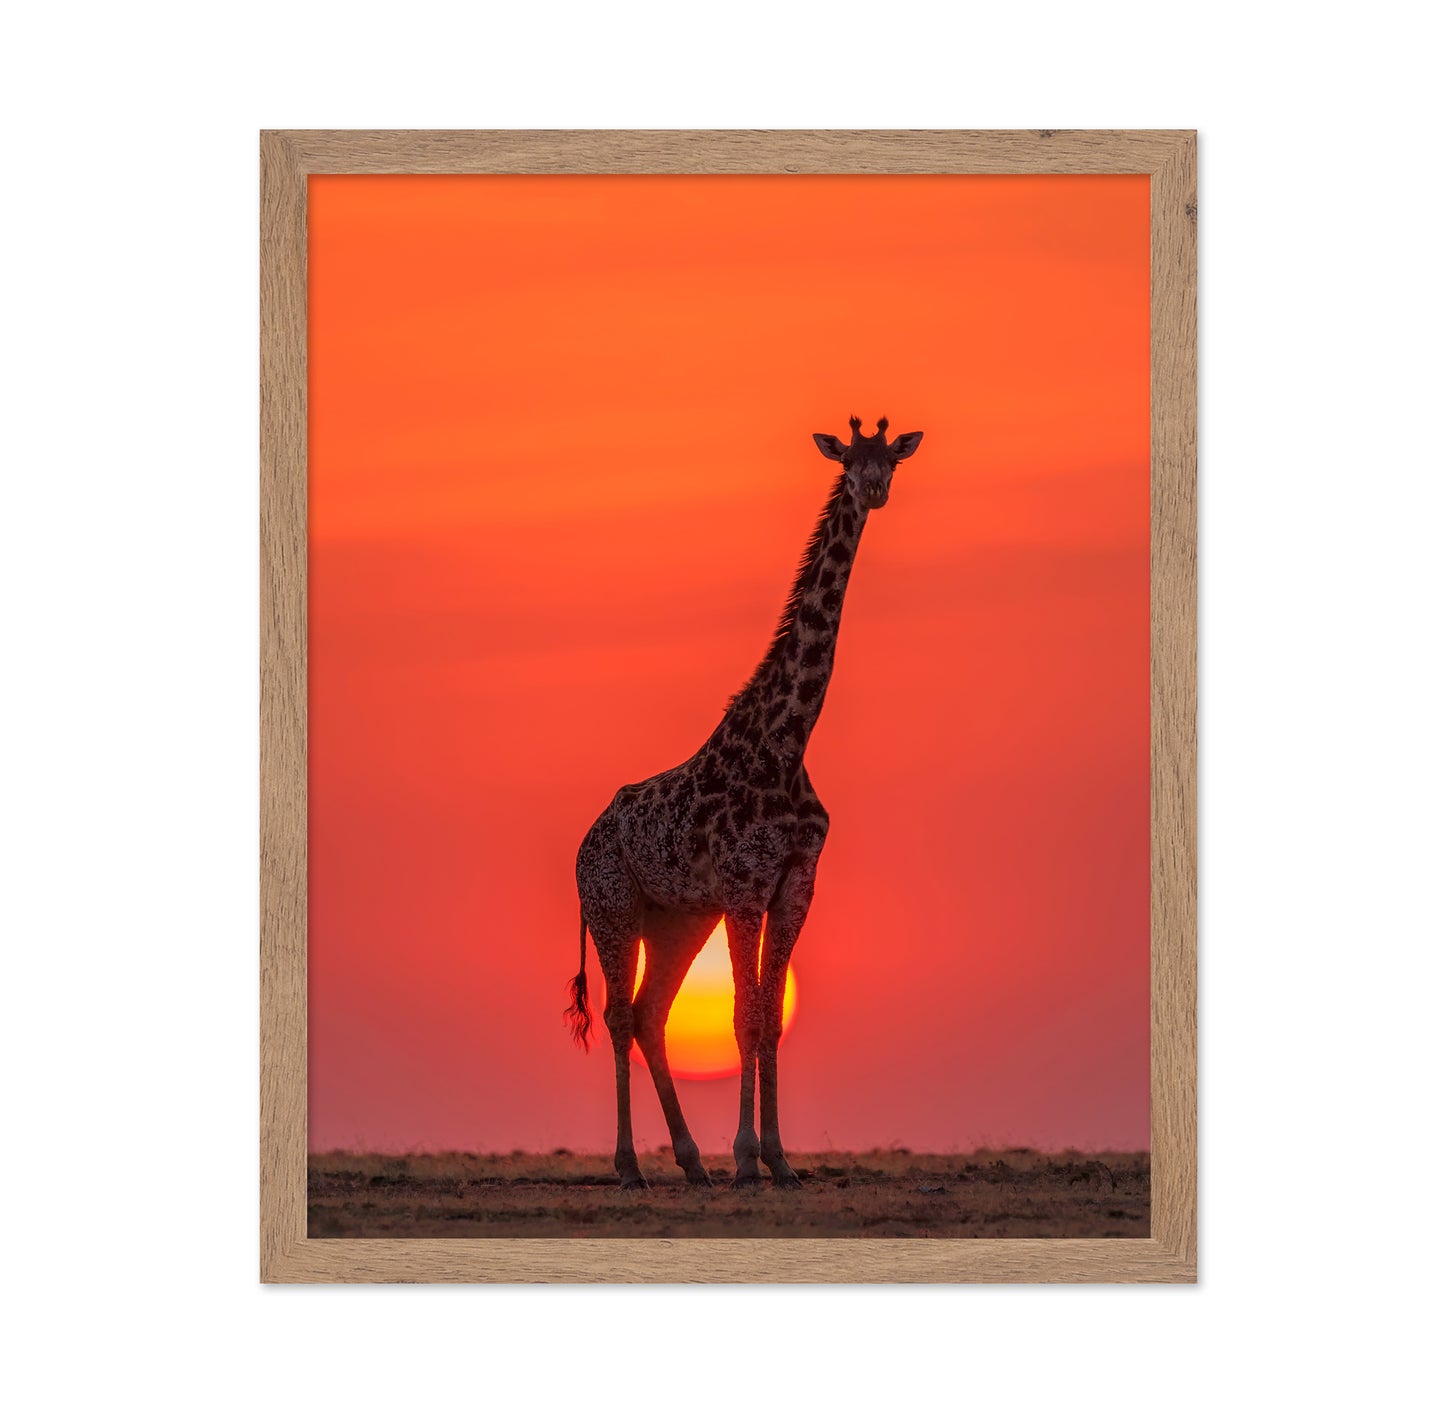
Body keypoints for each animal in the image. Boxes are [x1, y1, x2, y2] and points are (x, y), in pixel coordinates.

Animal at [567, 415, 924, 1189]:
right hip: (613, 906)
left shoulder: (794, 884)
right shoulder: (743, 885)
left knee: (650, 1013)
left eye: (890, 461)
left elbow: (769, 1017)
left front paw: (779, 1160)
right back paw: (631, 1167)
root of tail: (582, 844)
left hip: (677, 918)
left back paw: (690, 1162)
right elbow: (741, 1015)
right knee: (618, 1015)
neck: (787, 741)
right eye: (849, 460)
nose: (873, 490)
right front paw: (745, 1158)